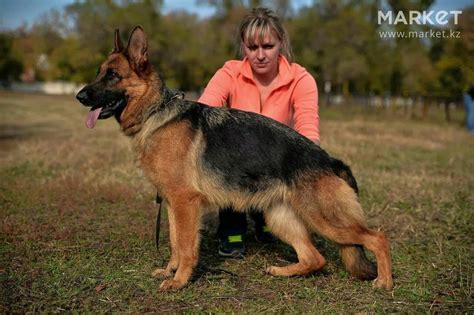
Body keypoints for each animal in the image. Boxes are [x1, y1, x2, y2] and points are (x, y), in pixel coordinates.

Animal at [75, 26, 392, 292]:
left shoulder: (185, 203)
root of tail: (329, 160)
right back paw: (282, 271)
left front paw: (179, 281)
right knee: (315, 258)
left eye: (112, 76)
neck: (157, 112)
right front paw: (170, 271)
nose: (80, 96)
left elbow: (186, 246)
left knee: (377, 237)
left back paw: (384, 282)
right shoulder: (174, 204)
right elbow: (176, 242)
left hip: (324, 219)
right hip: (281, 217)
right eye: (99, 72)